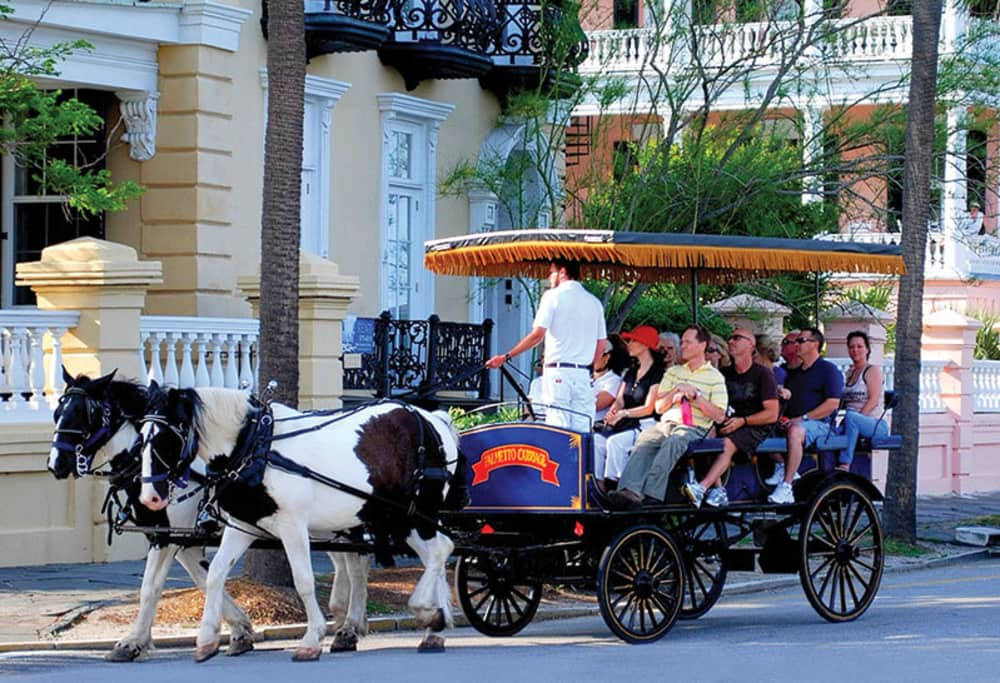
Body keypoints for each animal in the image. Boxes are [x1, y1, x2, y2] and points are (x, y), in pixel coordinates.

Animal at [48, 372, 256, 660]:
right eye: (58, 413)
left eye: (83, 414)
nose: (56, 463)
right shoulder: (183, 540)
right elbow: (205, 580)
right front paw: (240, 629)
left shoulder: (166, 536)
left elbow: (150, 587)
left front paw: (132, 642)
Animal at [138, 388, 468, 660]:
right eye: (141, 437)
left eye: (167, 439)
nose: (149, 497)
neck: (255, 445)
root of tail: (432, 418)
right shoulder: (244, 525)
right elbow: (216, 573)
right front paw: (207, 639)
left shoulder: (292, 525)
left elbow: (304, 580)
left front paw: (311, 639)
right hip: (398, 516)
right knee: (436, 552)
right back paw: (433, 627)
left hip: (414, 513)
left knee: (440, 551)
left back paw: (426, 613)